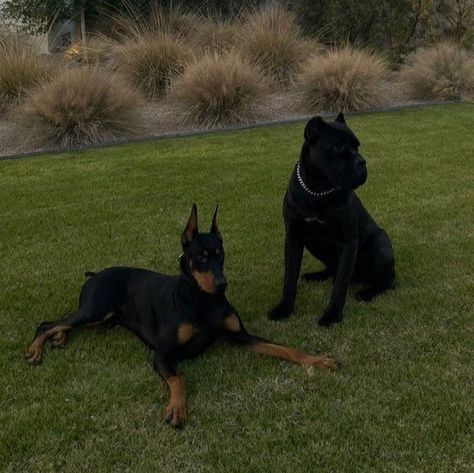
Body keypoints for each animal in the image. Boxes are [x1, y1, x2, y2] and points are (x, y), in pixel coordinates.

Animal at [25, 205, 338, 426]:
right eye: (201, 257)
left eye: (221, 254)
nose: (222, 284)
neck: (202, 300)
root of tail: (95, 274)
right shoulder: (162, 354)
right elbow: (178, 379)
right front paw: (176, 408)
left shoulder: (241, 335)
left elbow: (283, 348)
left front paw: (318, 360)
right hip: (96, 309)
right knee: (46, 323)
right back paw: (37, 349)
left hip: (104, 318)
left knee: (64, 324)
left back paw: (60, 339)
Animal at [268, 113, 394, 326]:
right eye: (338, 147)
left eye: (357, 146)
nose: (362, 161)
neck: (318, 189)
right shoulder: (293, 239)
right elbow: (289, 279)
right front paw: (284, 309)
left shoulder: (348, 242)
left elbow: (340, 285)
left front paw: (332, 316)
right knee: (332, 269)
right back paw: (317, 275)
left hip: (381, 243)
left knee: (387, 281)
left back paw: (367, 293)